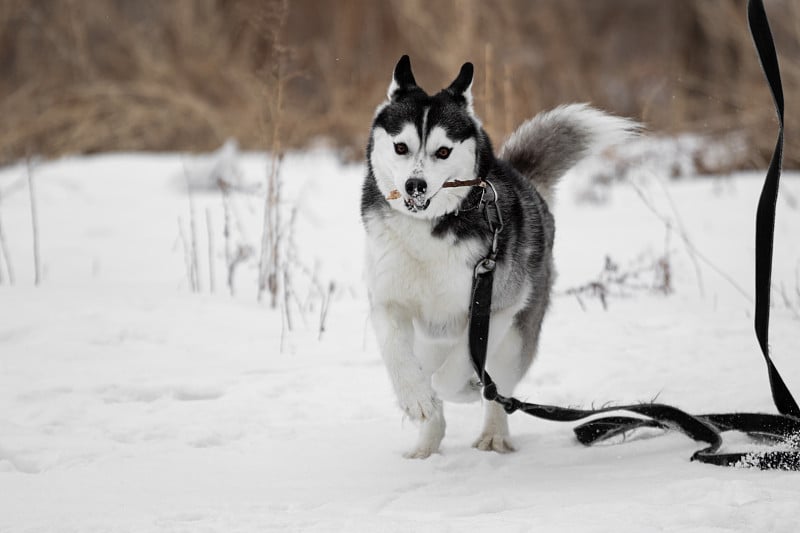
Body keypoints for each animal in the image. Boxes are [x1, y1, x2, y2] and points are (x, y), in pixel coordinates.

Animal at [362, 57, 636, 458]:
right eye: (400, 147)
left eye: (443, 151)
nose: (416, 186)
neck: (430, 229)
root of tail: (526, 182)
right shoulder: (388, 301)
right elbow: (399, 358)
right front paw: (415, 398)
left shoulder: (496, 307)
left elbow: (455, 373)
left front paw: (464, 390)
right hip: (429, 342)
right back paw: (426, 446)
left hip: (516, 337)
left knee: (498, 389)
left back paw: (493, 433)